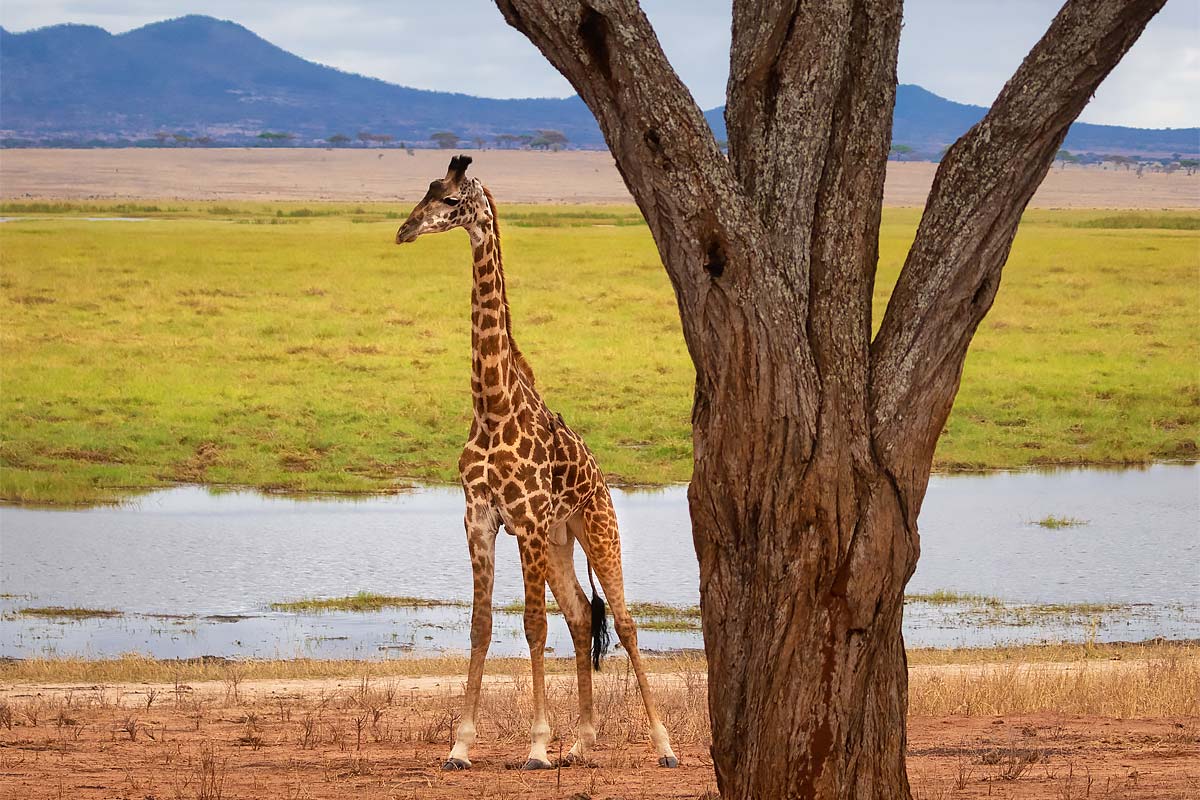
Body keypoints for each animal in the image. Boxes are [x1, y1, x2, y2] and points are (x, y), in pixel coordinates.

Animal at [393, 154, 676, 767]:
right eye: (427, 190)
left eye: (451, 201)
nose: (404, 230)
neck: (493, 406)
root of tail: (601, 481)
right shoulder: (480, 518)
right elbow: (481, 626)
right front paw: (460, 745)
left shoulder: (523, 521)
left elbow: (531, 626)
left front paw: (538, 745)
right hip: (559, 538)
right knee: (581, 614)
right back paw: (584, 740)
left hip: (596, 527)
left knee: (624, 620)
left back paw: (661, 743)